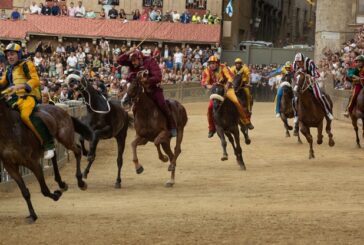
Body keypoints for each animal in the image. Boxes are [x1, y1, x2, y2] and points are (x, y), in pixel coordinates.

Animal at [0, 91, 92, 222]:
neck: (9, 130)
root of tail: (60, 109)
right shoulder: (10, 166)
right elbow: (24, 192)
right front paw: (32, 215)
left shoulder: (33, 163)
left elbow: (44, 190)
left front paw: (56, 195)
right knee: (54, 154)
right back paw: (61, 183)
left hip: (64, 136)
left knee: (77, 151)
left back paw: (80, 182)